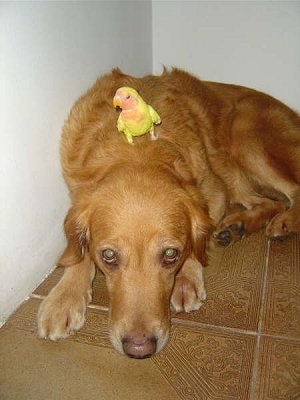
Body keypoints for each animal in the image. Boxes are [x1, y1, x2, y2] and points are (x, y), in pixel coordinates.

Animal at [38, 67, 300, 358]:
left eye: (171, 254)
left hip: (246, 135)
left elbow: (197, 239)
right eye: (108, 256)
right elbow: (79, 253)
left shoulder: (215, 192)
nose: (139, 348)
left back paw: (285, 222)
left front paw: (186, 278)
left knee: (292, 191)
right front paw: (63, 298)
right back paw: (236, 228)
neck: (138, 150)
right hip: (237, 174)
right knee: (270, 203)